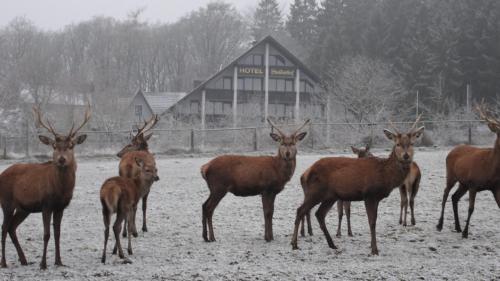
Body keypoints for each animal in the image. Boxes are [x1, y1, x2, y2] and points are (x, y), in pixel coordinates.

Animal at [0, 104, 90, 268]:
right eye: (54, 146)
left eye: (71, 145)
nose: (61, 159)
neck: (60, 190)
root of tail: (1, 174)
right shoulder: (46, 204)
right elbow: (46, 234)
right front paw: (43, 264)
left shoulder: (61, 207)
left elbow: (57, 234)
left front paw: (59, 261)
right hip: (6, 201)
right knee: (4, 228)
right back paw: (3, 262)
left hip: (23, 208)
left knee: (12, 227)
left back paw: (24, 260)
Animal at [292, 115, 424, 255]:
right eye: (397, 144)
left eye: (412, 143)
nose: (406, 156)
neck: (385, 175)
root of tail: (307, 172)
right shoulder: (369, 194)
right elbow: (372, 222)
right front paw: (374, 249)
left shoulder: (376, 198)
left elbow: (373, 220)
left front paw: (373, 247)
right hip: (316, 191)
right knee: (301, 210)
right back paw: (294, 244)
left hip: (330, 196)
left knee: (319, 214)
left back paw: (332, 244)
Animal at [436, 101, 500, 237]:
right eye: (499, 131)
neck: (492, 168)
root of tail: (452, 150)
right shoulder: (473, 184)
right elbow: (471, 208)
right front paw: (466, 233)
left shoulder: (496, 186)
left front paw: (463, 230)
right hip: (451, 175)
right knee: (445, 193)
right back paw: (440, 225)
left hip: (463, 183)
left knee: (454, 197)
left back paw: (457, 227)